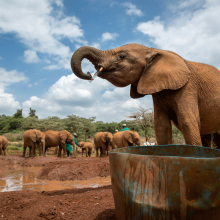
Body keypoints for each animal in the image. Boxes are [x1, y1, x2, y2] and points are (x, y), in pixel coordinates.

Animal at [71, 43, 220, 147]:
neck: (153, 50)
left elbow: (187, 122)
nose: (90, 75)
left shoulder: (188, 86)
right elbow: (161, 125)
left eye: (121, 56)